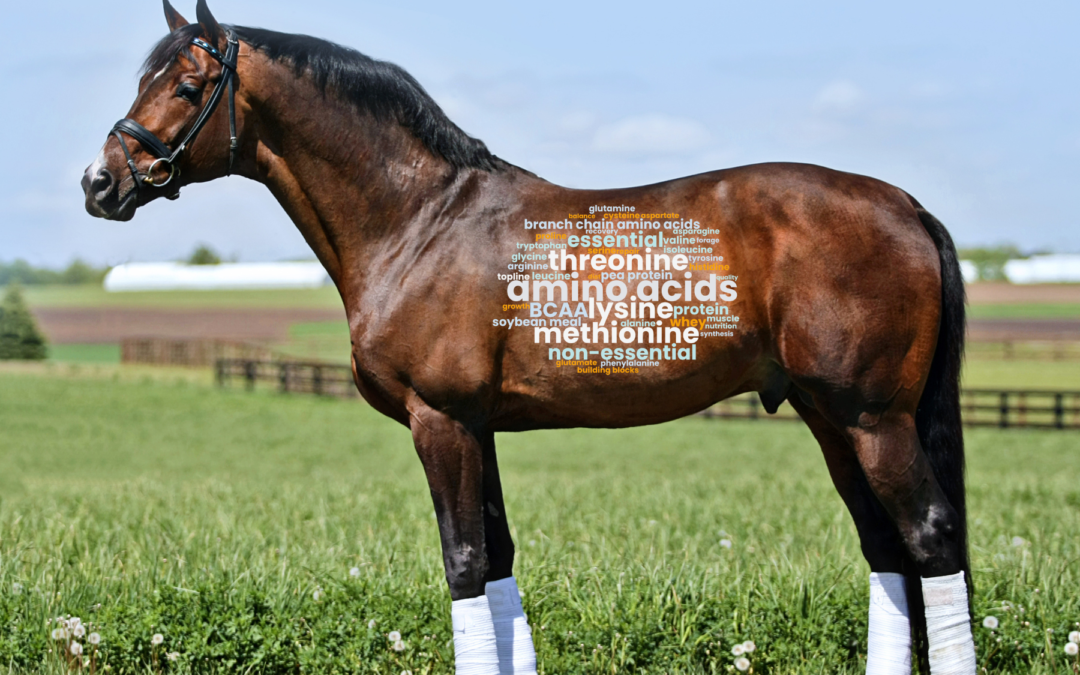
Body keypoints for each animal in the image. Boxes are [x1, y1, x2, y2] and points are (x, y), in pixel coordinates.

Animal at [81, 2, 977, 673]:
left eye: (188, 84)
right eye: (143, 78)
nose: (101, 183)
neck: (420, 221)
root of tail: (905, 205)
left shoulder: (441, 420)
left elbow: (465, 565)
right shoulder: (478, 426)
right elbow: (501, 562)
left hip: (873, 419)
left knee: (931, 539)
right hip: (830, 417)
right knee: (886, 548)